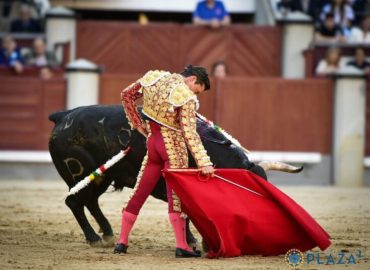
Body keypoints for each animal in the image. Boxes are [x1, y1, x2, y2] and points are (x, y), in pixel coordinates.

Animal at [48, 105, 304, 247]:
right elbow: (186, 212)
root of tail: (63, 116)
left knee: (89, 201)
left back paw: (108, 233)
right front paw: (196, 241)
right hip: (82, 174)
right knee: (75, 202)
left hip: (102, 177)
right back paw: (94, 238)